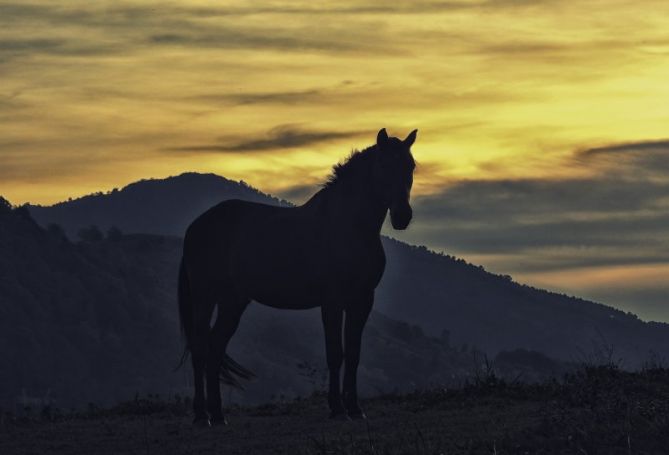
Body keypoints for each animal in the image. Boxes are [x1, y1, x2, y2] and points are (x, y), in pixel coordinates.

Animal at [177, 128, 418, 428]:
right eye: (384, 165)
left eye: (411, 166)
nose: (402, 216)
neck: (347, 226)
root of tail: (197, 226)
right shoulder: (332, 301)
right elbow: (335, 354)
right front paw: (338, 409)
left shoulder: (362, 300)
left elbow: (353, 354)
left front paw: (354, 408)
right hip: (205, 297)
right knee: (200, 349)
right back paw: (202, 416)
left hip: (232, 302)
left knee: (215, 348)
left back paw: (218, 415)